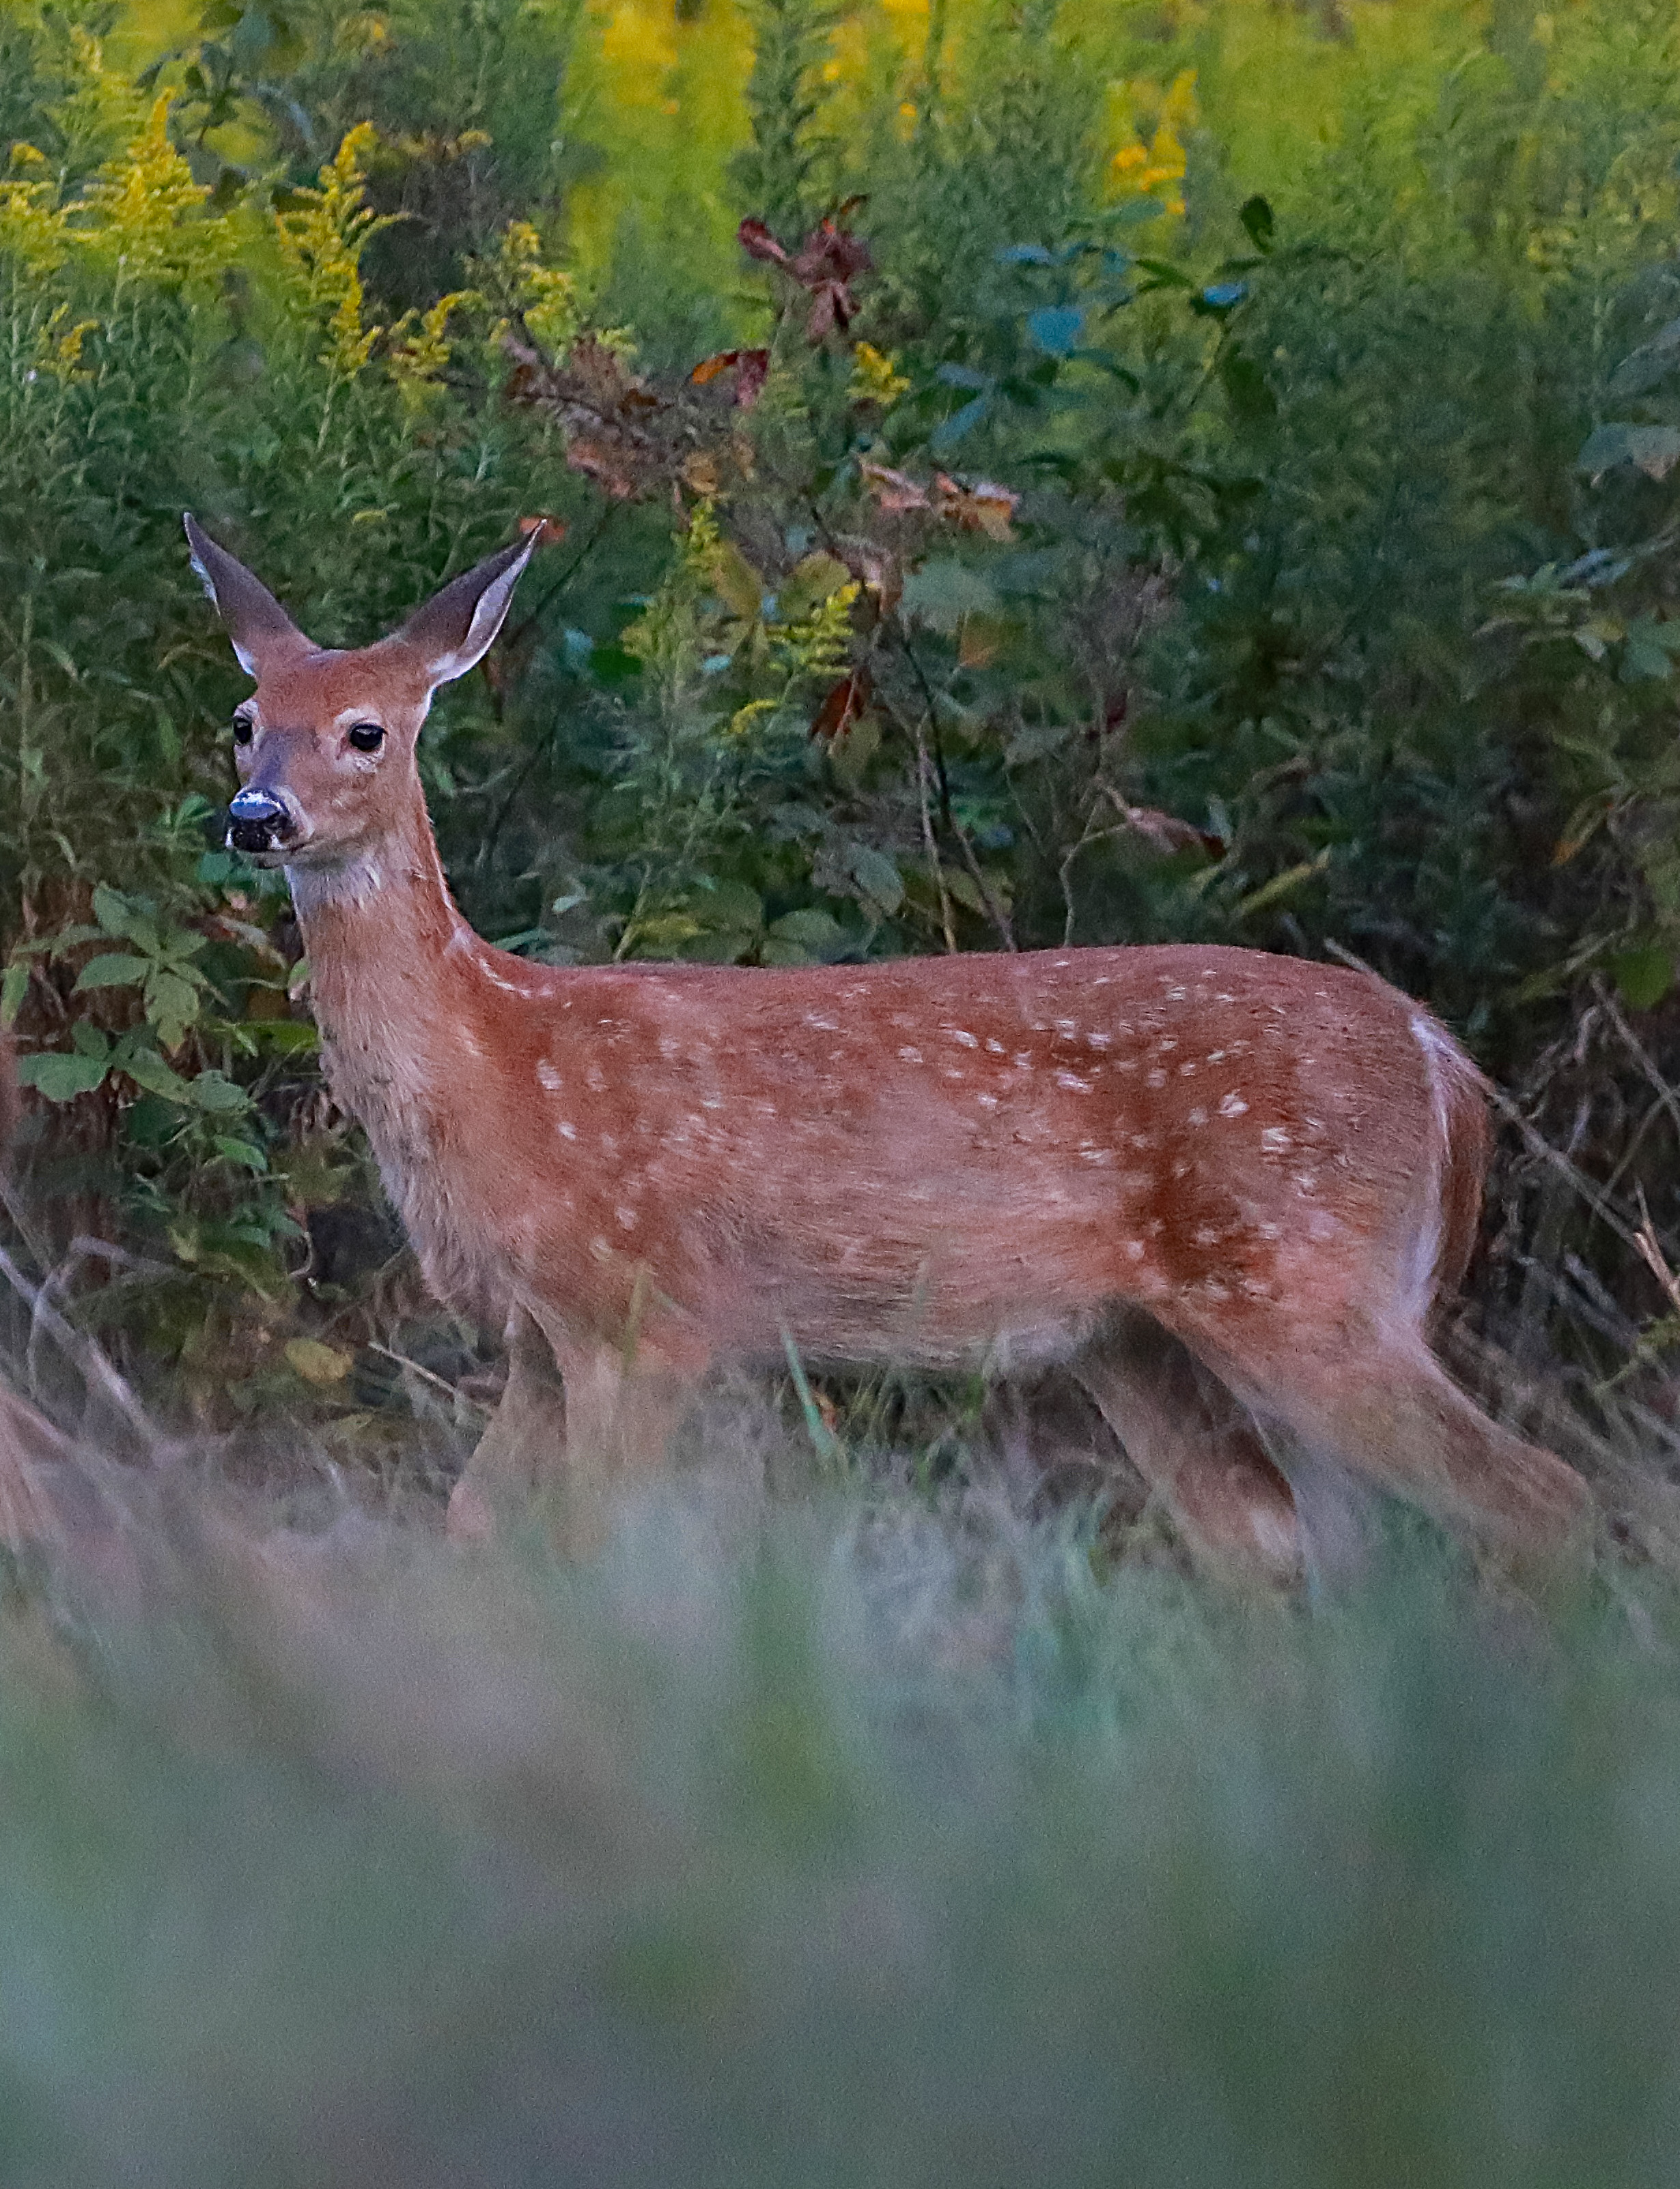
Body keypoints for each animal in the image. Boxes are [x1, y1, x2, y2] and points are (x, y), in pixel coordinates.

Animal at [183, 514, 1593, 1580]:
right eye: (245, 717)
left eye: (368, 729)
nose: (256, 816)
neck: (498, 1066)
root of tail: (1440, 1056)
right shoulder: (539, 1337)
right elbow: (475, 1527)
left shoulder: (648, 1310)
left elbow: (594, 1541)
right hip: (1142, 1337)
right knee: (1278, 1538)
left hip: (1305, 1277)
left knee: (1537, 1498)